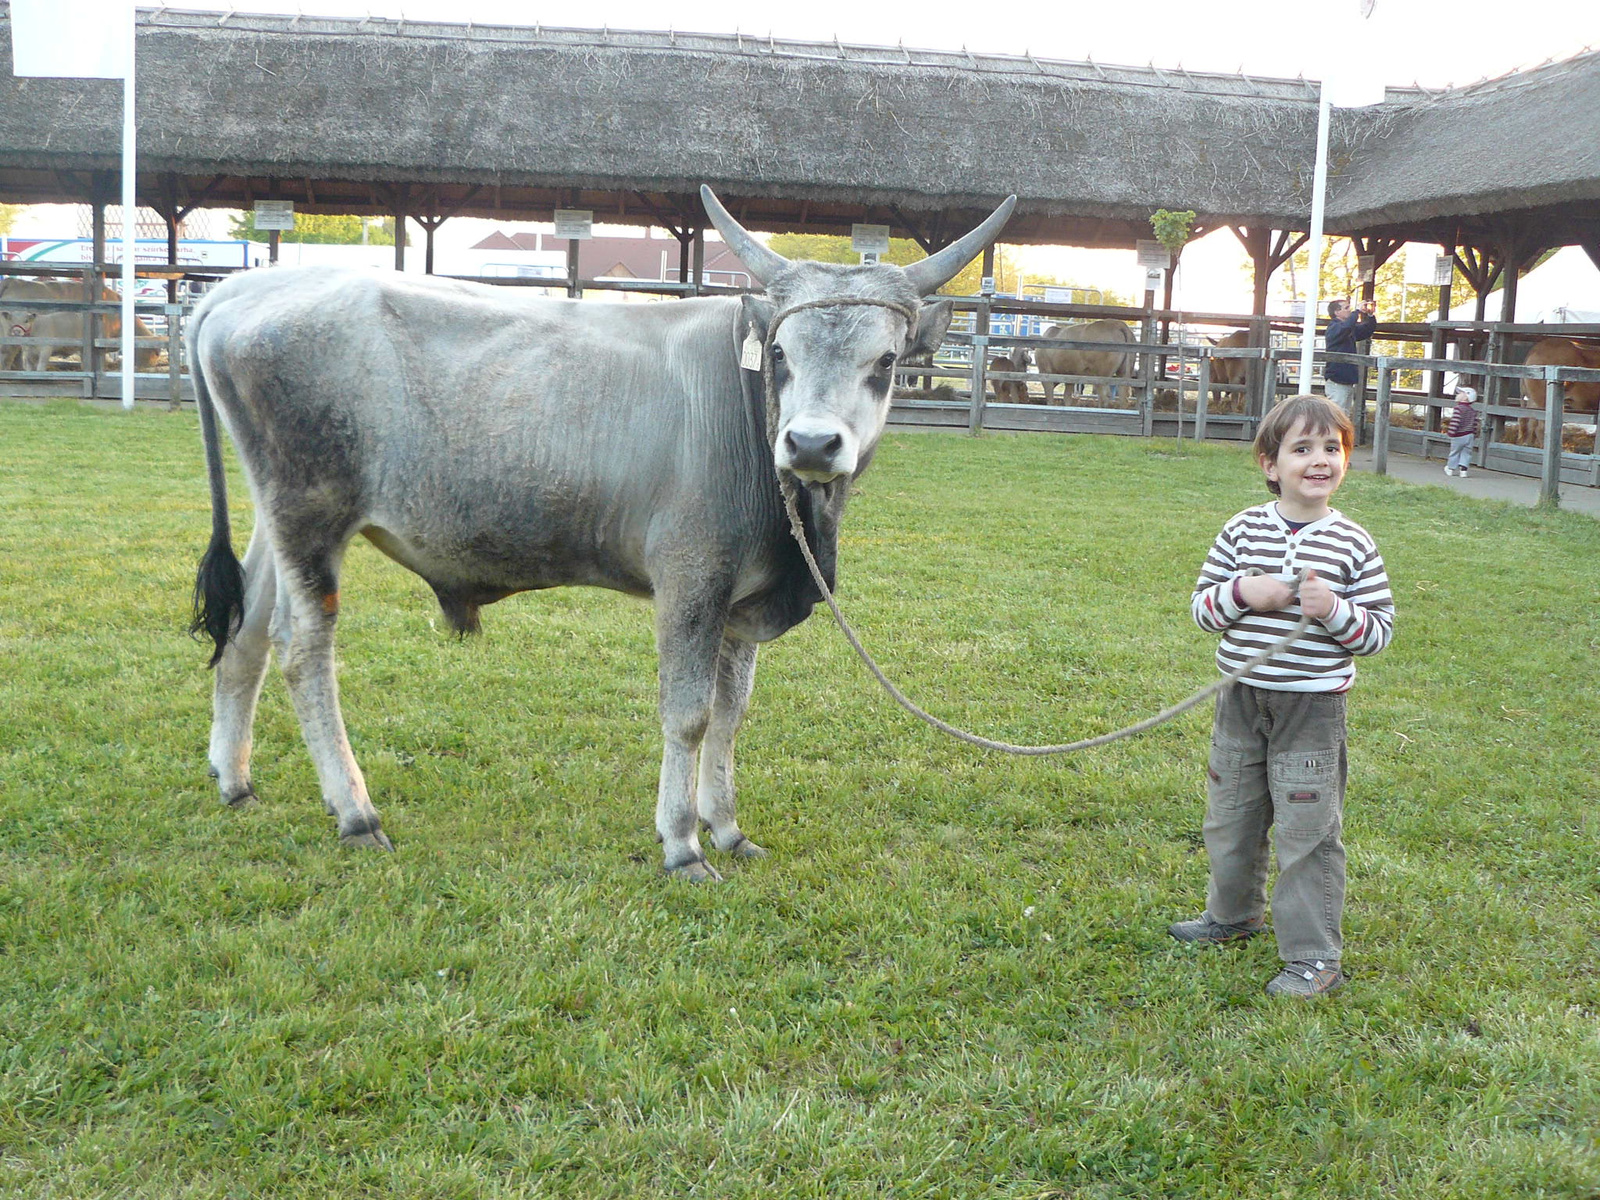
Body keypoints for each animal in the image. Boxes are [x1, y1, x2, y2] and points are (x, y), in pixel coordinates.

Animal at [190, 188, 1011, 883]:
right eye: (781, 354)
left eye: (886, 360)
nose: (811, 444)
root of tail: (242, 290)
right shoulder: (690, 578)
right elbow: (689, 714)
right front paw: (682, 844)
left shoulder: (741, 600)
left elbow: (732, 714)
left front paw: (727, 828)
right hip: (311, 512)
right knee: (304, 650)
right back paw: (356, 814)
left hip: (277, 518)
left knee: (249, 629)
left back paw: (235, 781)